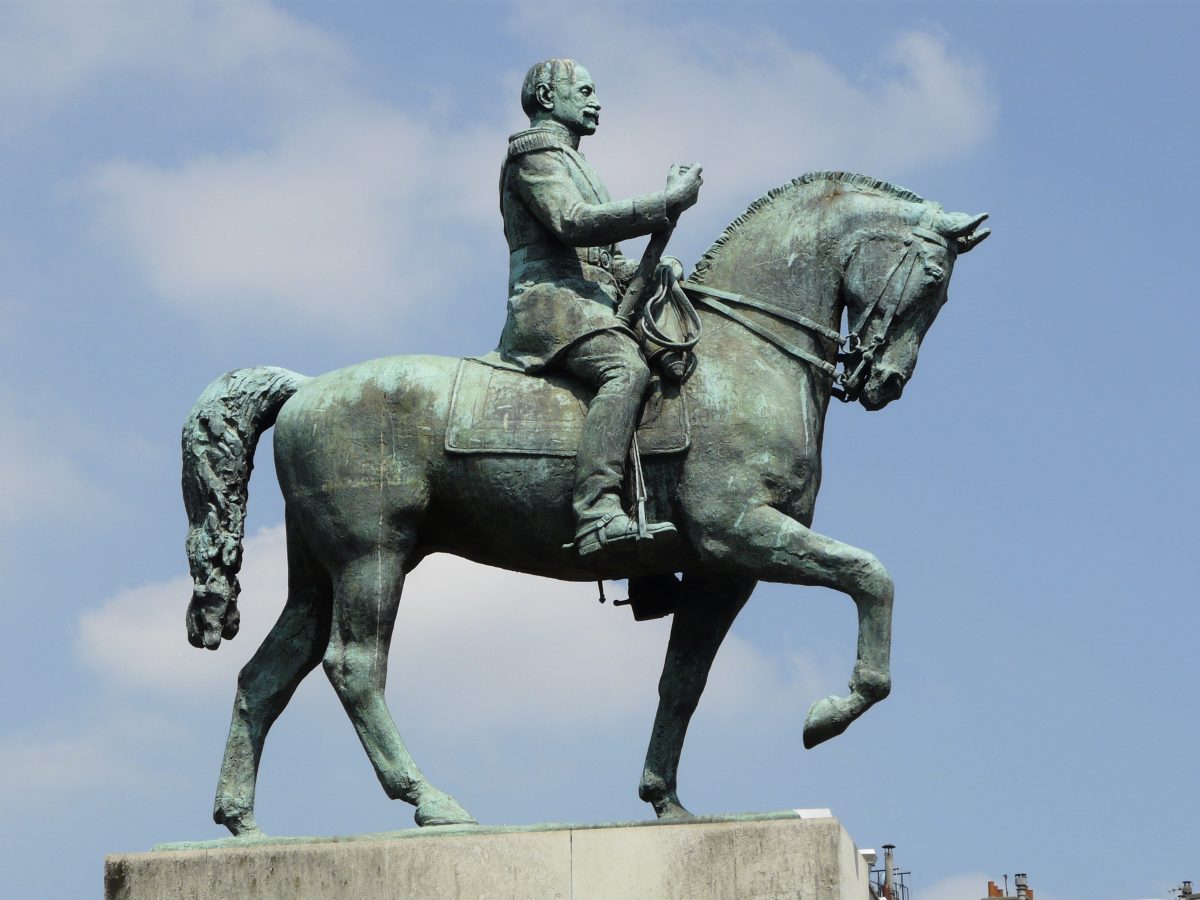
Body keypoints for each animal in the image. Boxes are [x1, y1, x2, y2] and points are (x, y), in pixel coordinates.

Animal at [182, 170, 988, 840]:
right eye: (932, 276)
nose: (884, 382)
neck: (745, 358)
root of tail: (306, 389)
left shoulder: (724, 572)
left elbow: (683, 680)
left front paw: (666, 799)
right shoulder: (743, 536)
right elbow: (871, 577)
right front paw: (830, 713)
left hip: (319, 570)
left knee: (266, 675)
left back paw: (242, 824)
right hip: (372, 555)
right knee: (354, 667)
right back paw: (431, 802)